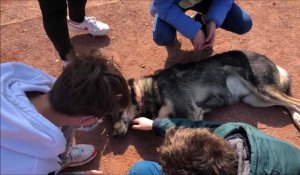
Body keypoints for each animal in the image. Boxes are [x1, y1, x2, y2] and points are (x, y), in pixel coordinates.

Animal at [112, 50, 300, 136]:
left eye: (115, 112)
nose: (113, 135)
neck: (152, 89)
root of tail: (269, 59)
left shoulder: (192, 112)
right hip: (256, 99)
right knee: (288, 103)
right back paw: (297, 119)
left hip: (263, 89)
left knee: (295, 101)